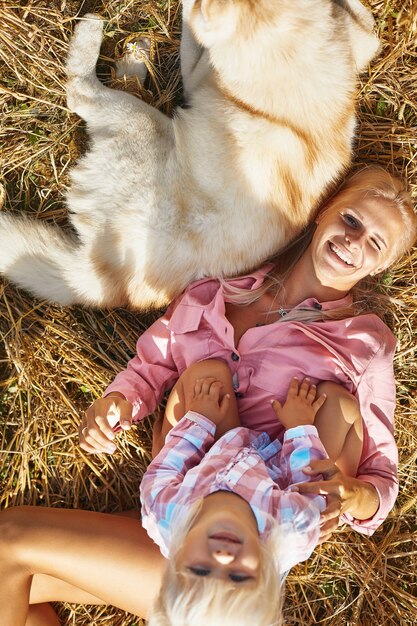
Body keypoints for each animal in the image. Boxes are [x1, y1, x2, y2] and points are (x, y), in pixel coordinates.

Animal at [0, 1, 376, 308]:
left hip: (141, 123)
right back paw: (134, 59)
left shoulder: (197, 75)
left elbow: (191, 32)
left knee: (80, 90)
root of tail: (109, 284)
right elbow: (366, 27)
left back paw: (93, 35)